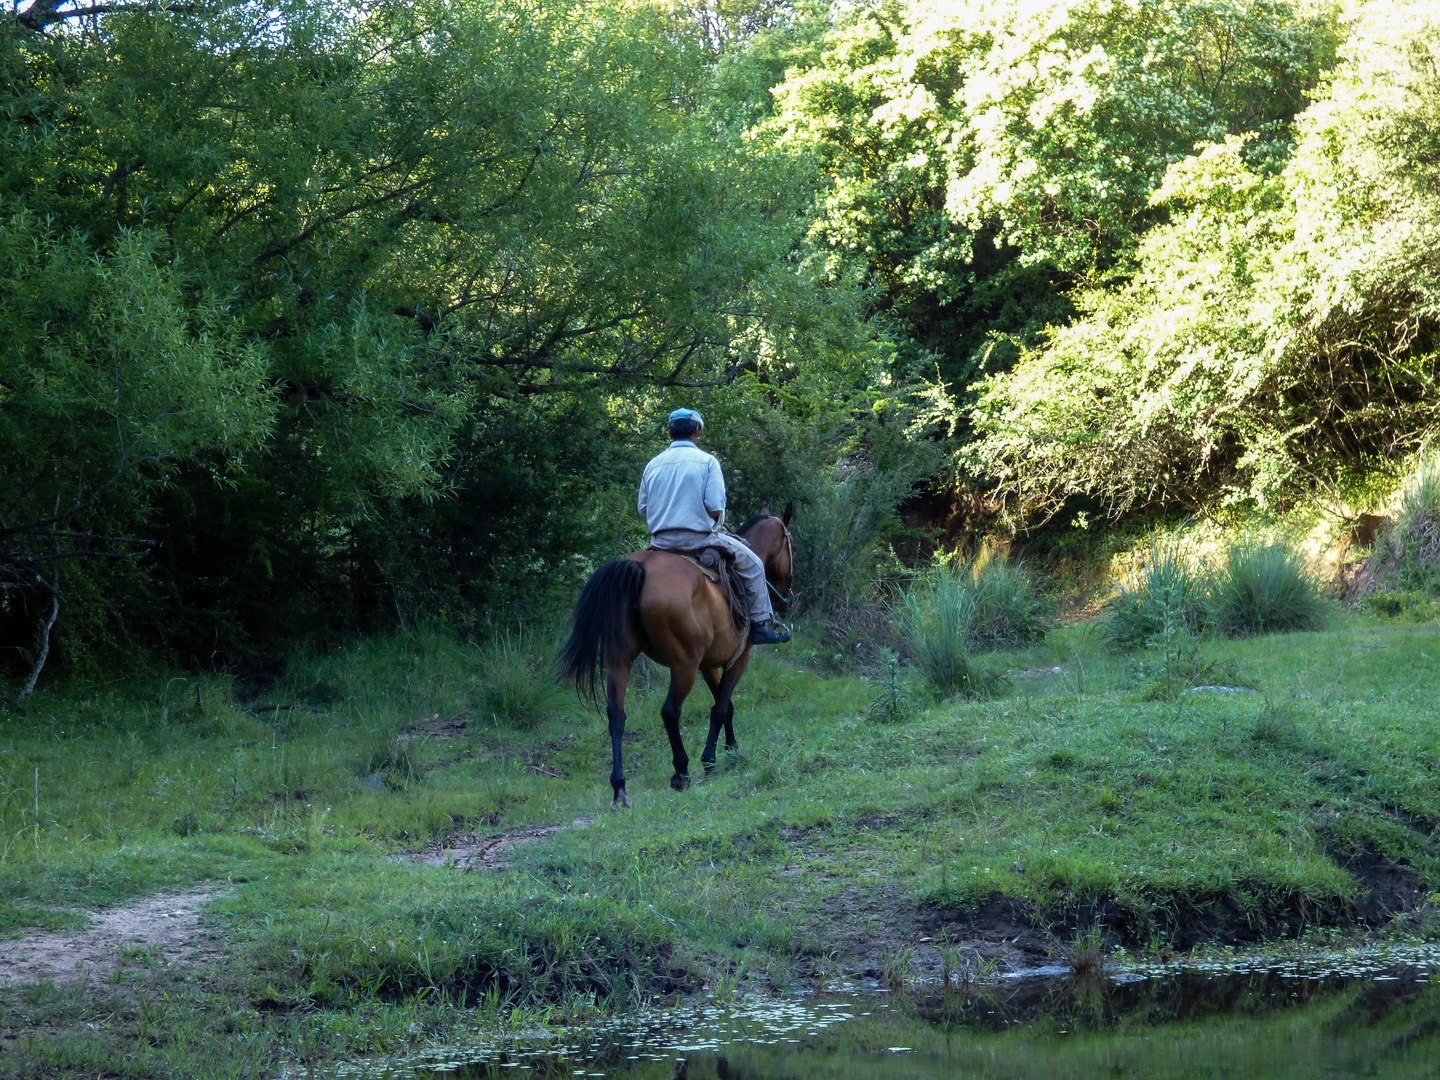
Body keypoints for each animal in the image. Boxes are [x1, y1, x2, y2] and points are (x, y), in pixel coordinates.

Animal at [558, 504, 800, 806]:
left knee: (616, 716)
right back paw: (681, 773)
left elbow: (726, 705)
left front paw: (731, 750)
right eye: (792, 545)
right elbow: (721, 708)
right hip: (683, 665)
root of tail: (640, 567)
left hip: (619, 660)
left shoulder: (708, 665)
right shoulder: (738, 660)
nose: (787, 599)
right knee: (670, 711)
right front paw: (711, 760)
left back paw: (619, 788)